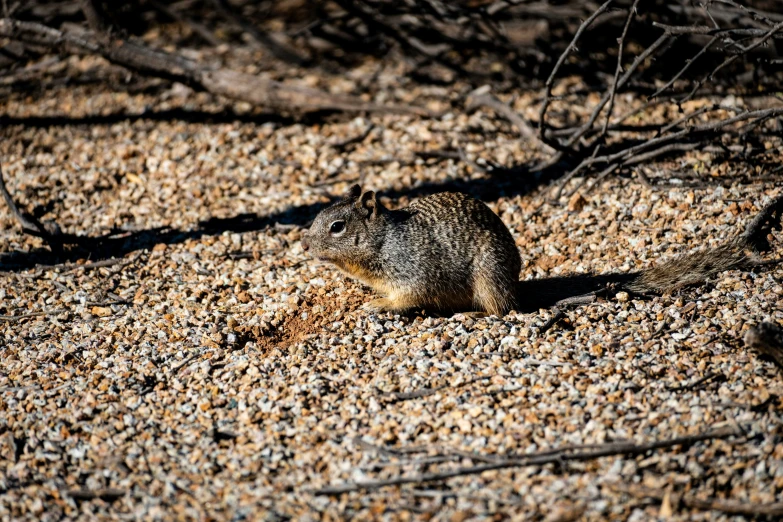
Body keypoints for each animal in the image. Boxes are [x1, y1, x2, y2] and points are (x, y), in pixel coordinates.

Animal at [302, 185, 783, 314]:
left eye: (337, 226)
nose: (304, 242)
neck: (383, 241)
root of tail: (515, 282)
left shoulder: (413, 270)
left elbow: (409, 296)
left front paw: (377, 306)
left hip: (488, 279)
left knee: (503, 310)